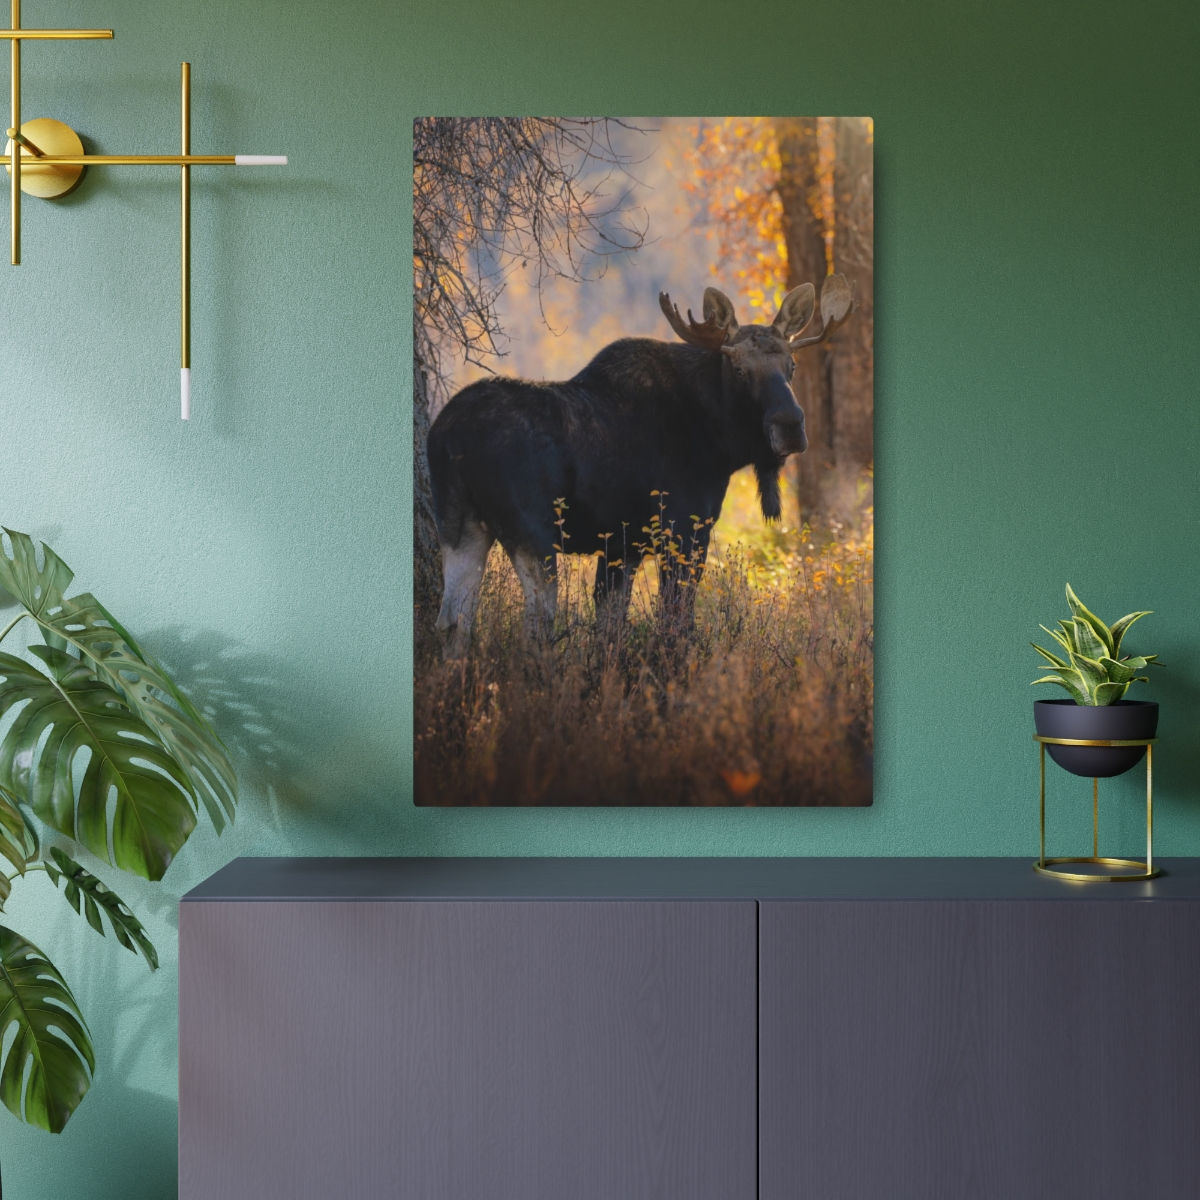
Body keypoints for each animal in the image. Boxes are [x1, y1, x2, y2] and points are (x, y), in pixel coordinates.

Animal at [426, 273, 853, 658]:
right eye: (739, 369)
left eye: (792, 364)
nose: (790, 425)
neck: (719, 442)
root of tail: (449, 437)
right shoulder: (685, 530)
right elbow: (675, 620)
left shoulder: (623, 545)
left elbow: (611, 627)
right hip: (534, 533)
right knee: (536, 623)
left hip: (459, 524)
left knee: (453, 621)